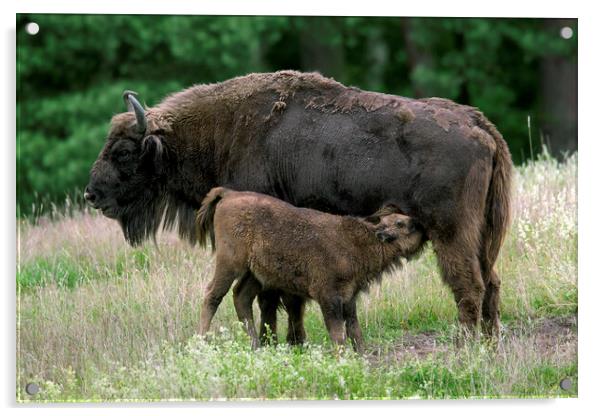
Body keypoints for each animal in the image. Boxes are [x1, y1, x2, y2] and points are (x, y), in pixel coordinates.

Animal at [196, 187, 422, 352]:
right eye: (400, 223)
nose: (417, 223)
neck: (358, 241)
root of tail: (229, 194)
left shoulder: (349, 297)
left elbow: (353, 328)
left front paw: (361, 353)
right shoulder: (329, 297)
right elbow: (337, 332)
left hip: (256, 275)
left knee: (241, 297)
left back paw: (255, 346)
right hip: (229, 263)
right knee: (213, 295)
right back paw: (201, 342)